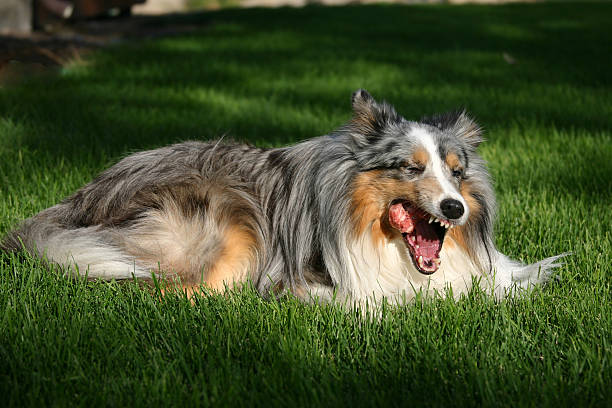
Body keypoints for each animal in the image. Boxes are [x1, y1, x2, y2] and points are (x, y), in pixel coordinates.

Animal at [1, 91, 564, 304]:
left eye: (456, 172)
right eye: (411, 167)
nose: (454, 209)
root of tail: (79, 199)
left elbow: (510, 280)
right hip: (230, 219)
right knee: (164, 292)